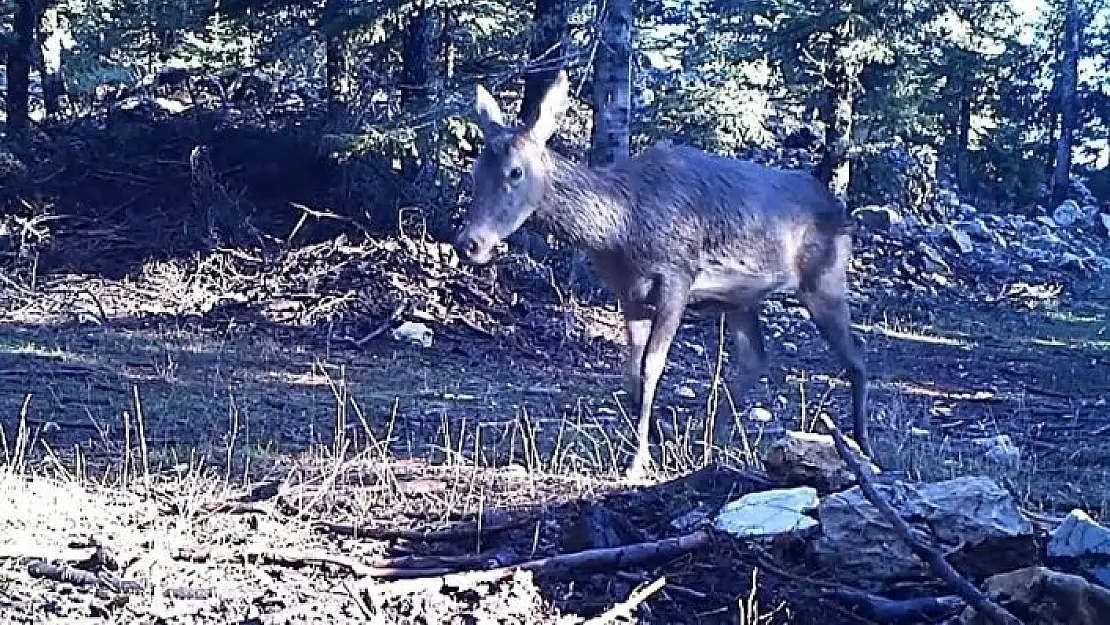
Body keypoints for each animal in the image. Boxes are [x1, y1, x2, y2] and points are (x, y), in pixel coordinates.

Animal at [455, 71, 870, 479]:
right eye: (474, 171)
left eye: (515, 171)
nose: (468, 243)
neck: (623, 227)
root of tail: (843, 212)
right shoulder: (628, 294)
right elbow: (631, 371)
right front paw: (652, 441)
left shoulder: (677, 276)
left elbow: (652, 366)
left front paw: (638, 460)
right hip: (740, 298)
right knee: (755, 360)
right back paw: (709, 445)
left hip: (825, 275)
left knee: (856, 360)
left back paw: (862, 449)